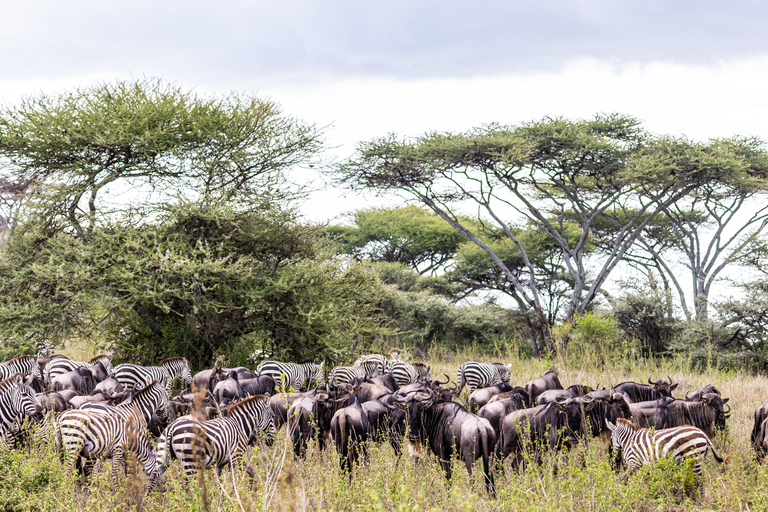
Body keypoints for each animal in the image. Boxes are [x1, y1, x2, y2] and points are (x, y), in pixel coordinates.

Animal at [146, 392, 274, 496]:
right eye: (272, 416)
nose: (271, 442)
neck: (240, 425)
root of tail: (171, 428)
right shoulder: (236, 457)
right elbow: (250, 473)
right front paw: (249, 492)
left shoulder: (221, 462)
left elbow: (219, 483)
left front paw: (221, 499)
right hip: (190, 462)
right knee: (190, 484)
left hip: (164, 455)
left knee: (153, 476)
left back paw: (145, 502)